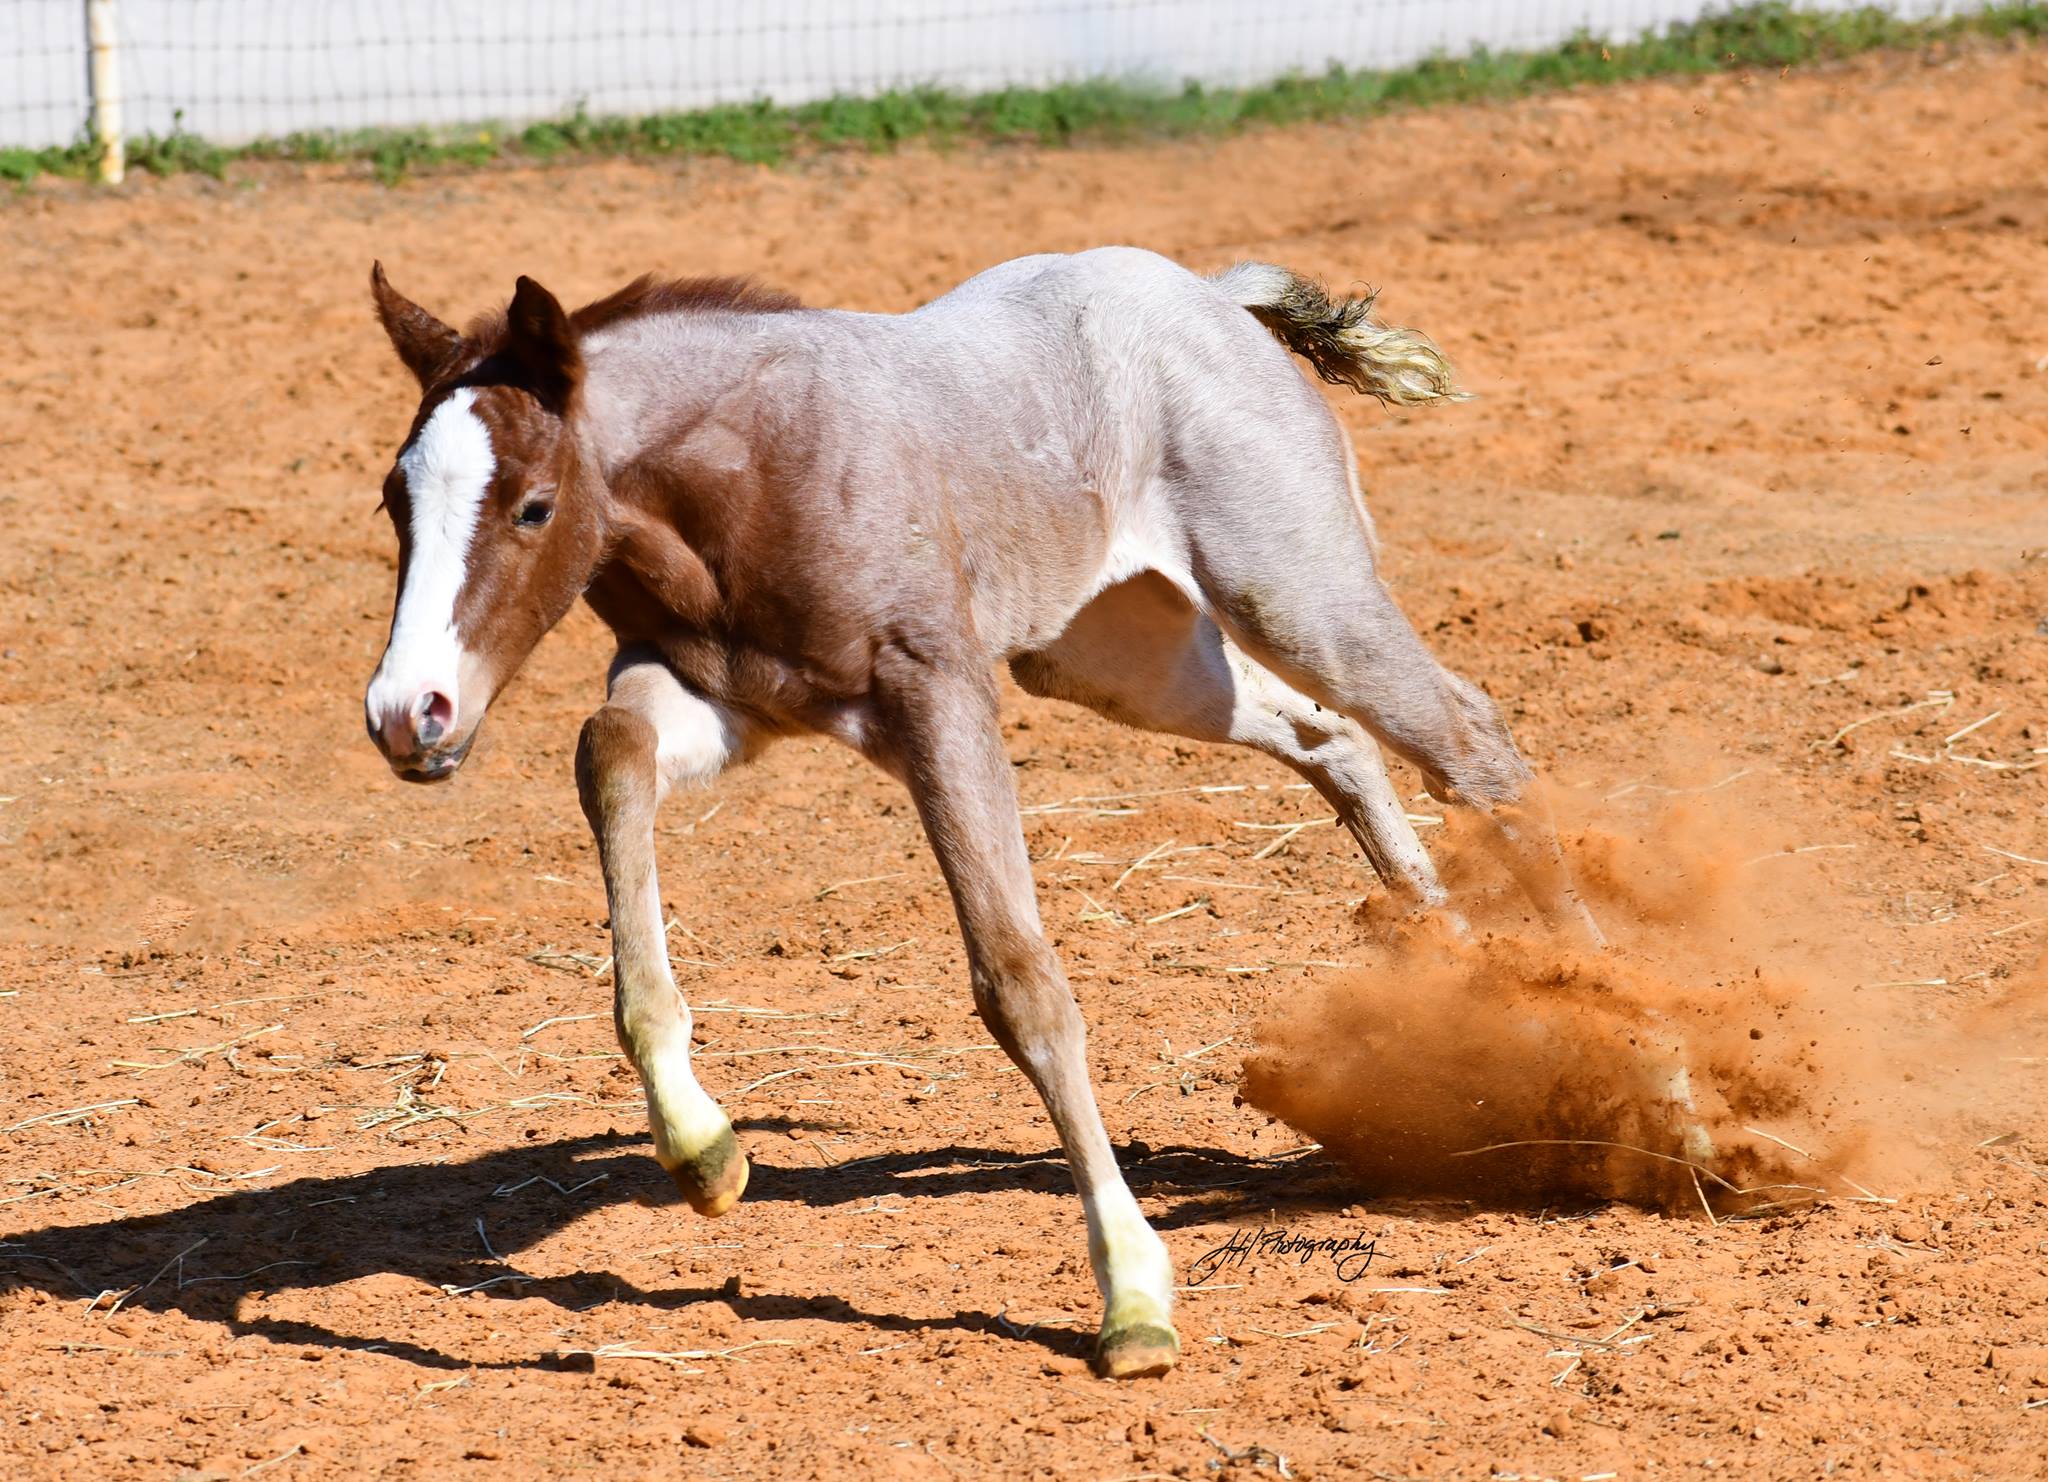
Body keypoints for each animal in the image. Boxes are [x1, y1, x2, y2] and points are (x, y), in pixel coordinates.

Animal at [356, 245, 1597, 1375]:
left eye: (532, 506)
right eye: (393, 499)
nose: (407, 713)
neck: (752, 467)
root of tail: (1209, 294)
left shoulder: (939, 699)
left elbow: (1019, 986)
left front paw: (1132, 1298)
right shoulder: (720, 699)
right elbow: (606, 754)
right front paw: (701, 1150)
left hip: (1295, 598)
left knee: (1466, 743)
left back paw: (1603, 1016)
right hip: (1117, 658)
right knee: (1329, 739)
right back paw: (1447, 965)